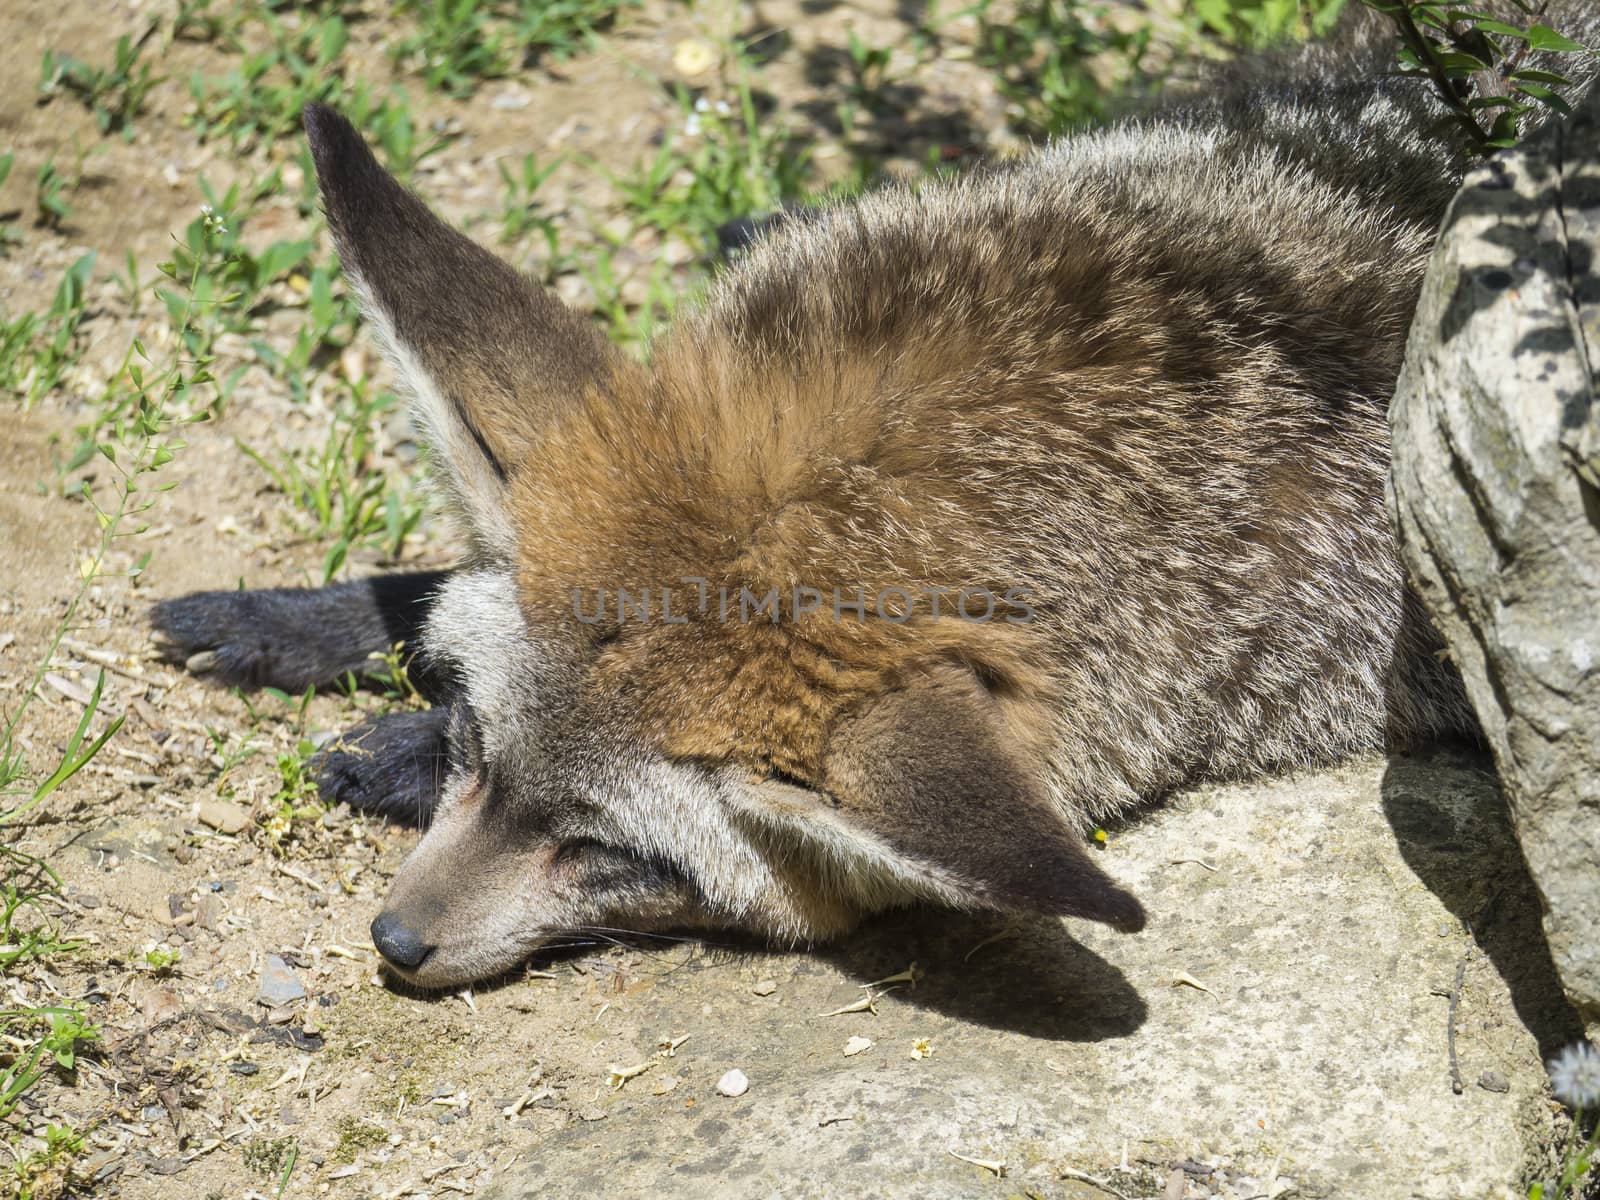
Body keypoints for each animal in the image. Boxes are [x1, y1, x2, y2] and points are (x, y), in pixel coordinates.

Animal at [147, 9, 1587, 992]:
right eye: (473, 744)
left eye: (615, 859)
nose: (396, 939)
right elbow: (436, 579)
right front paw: (311, 620)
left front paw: (374, 743)